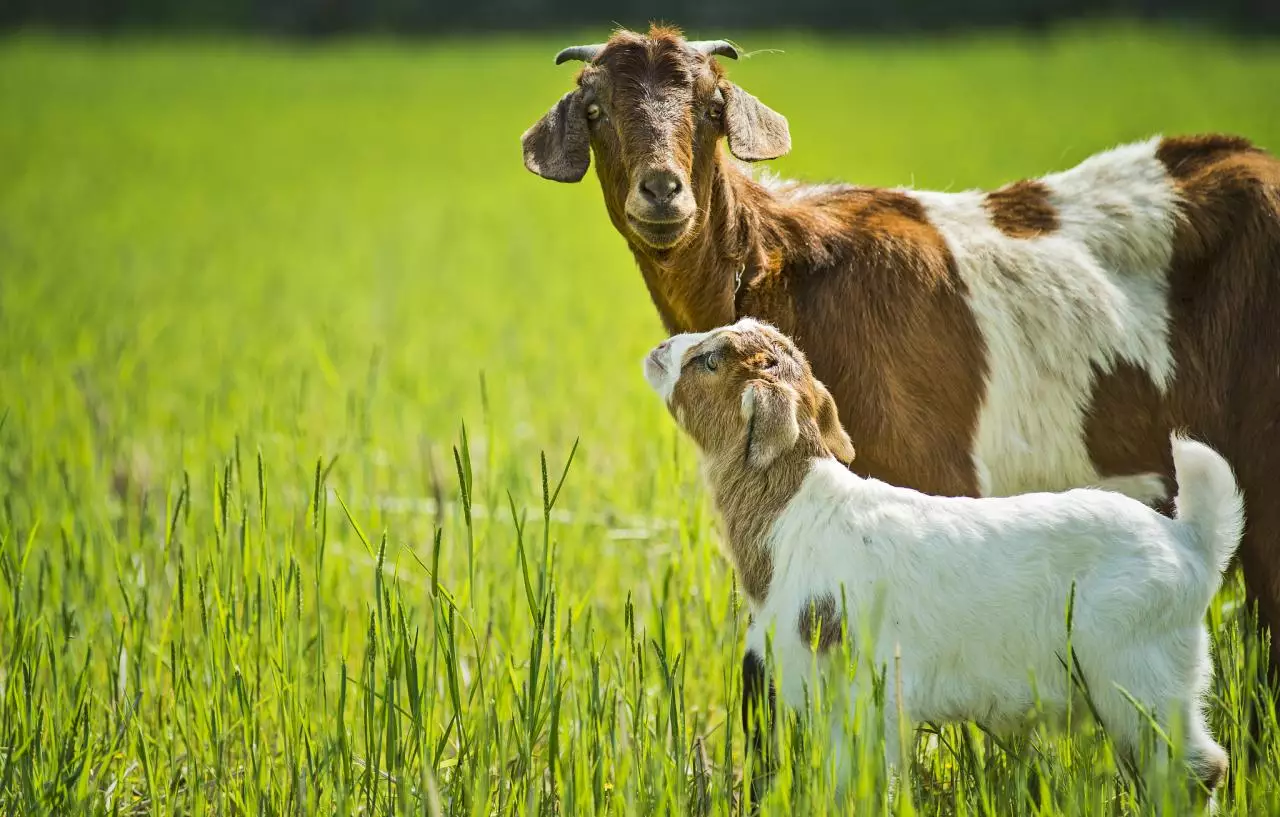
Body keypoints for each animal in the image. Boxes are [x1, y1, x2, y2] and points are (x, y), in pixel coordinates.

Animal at [645, 318, 1244, 799]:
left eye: (710, 360)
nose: (658, 351)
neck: (796, 512)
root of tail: (1190, 541)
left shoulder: (859, 693)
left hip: (1142, 675)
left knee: (1199, 769)